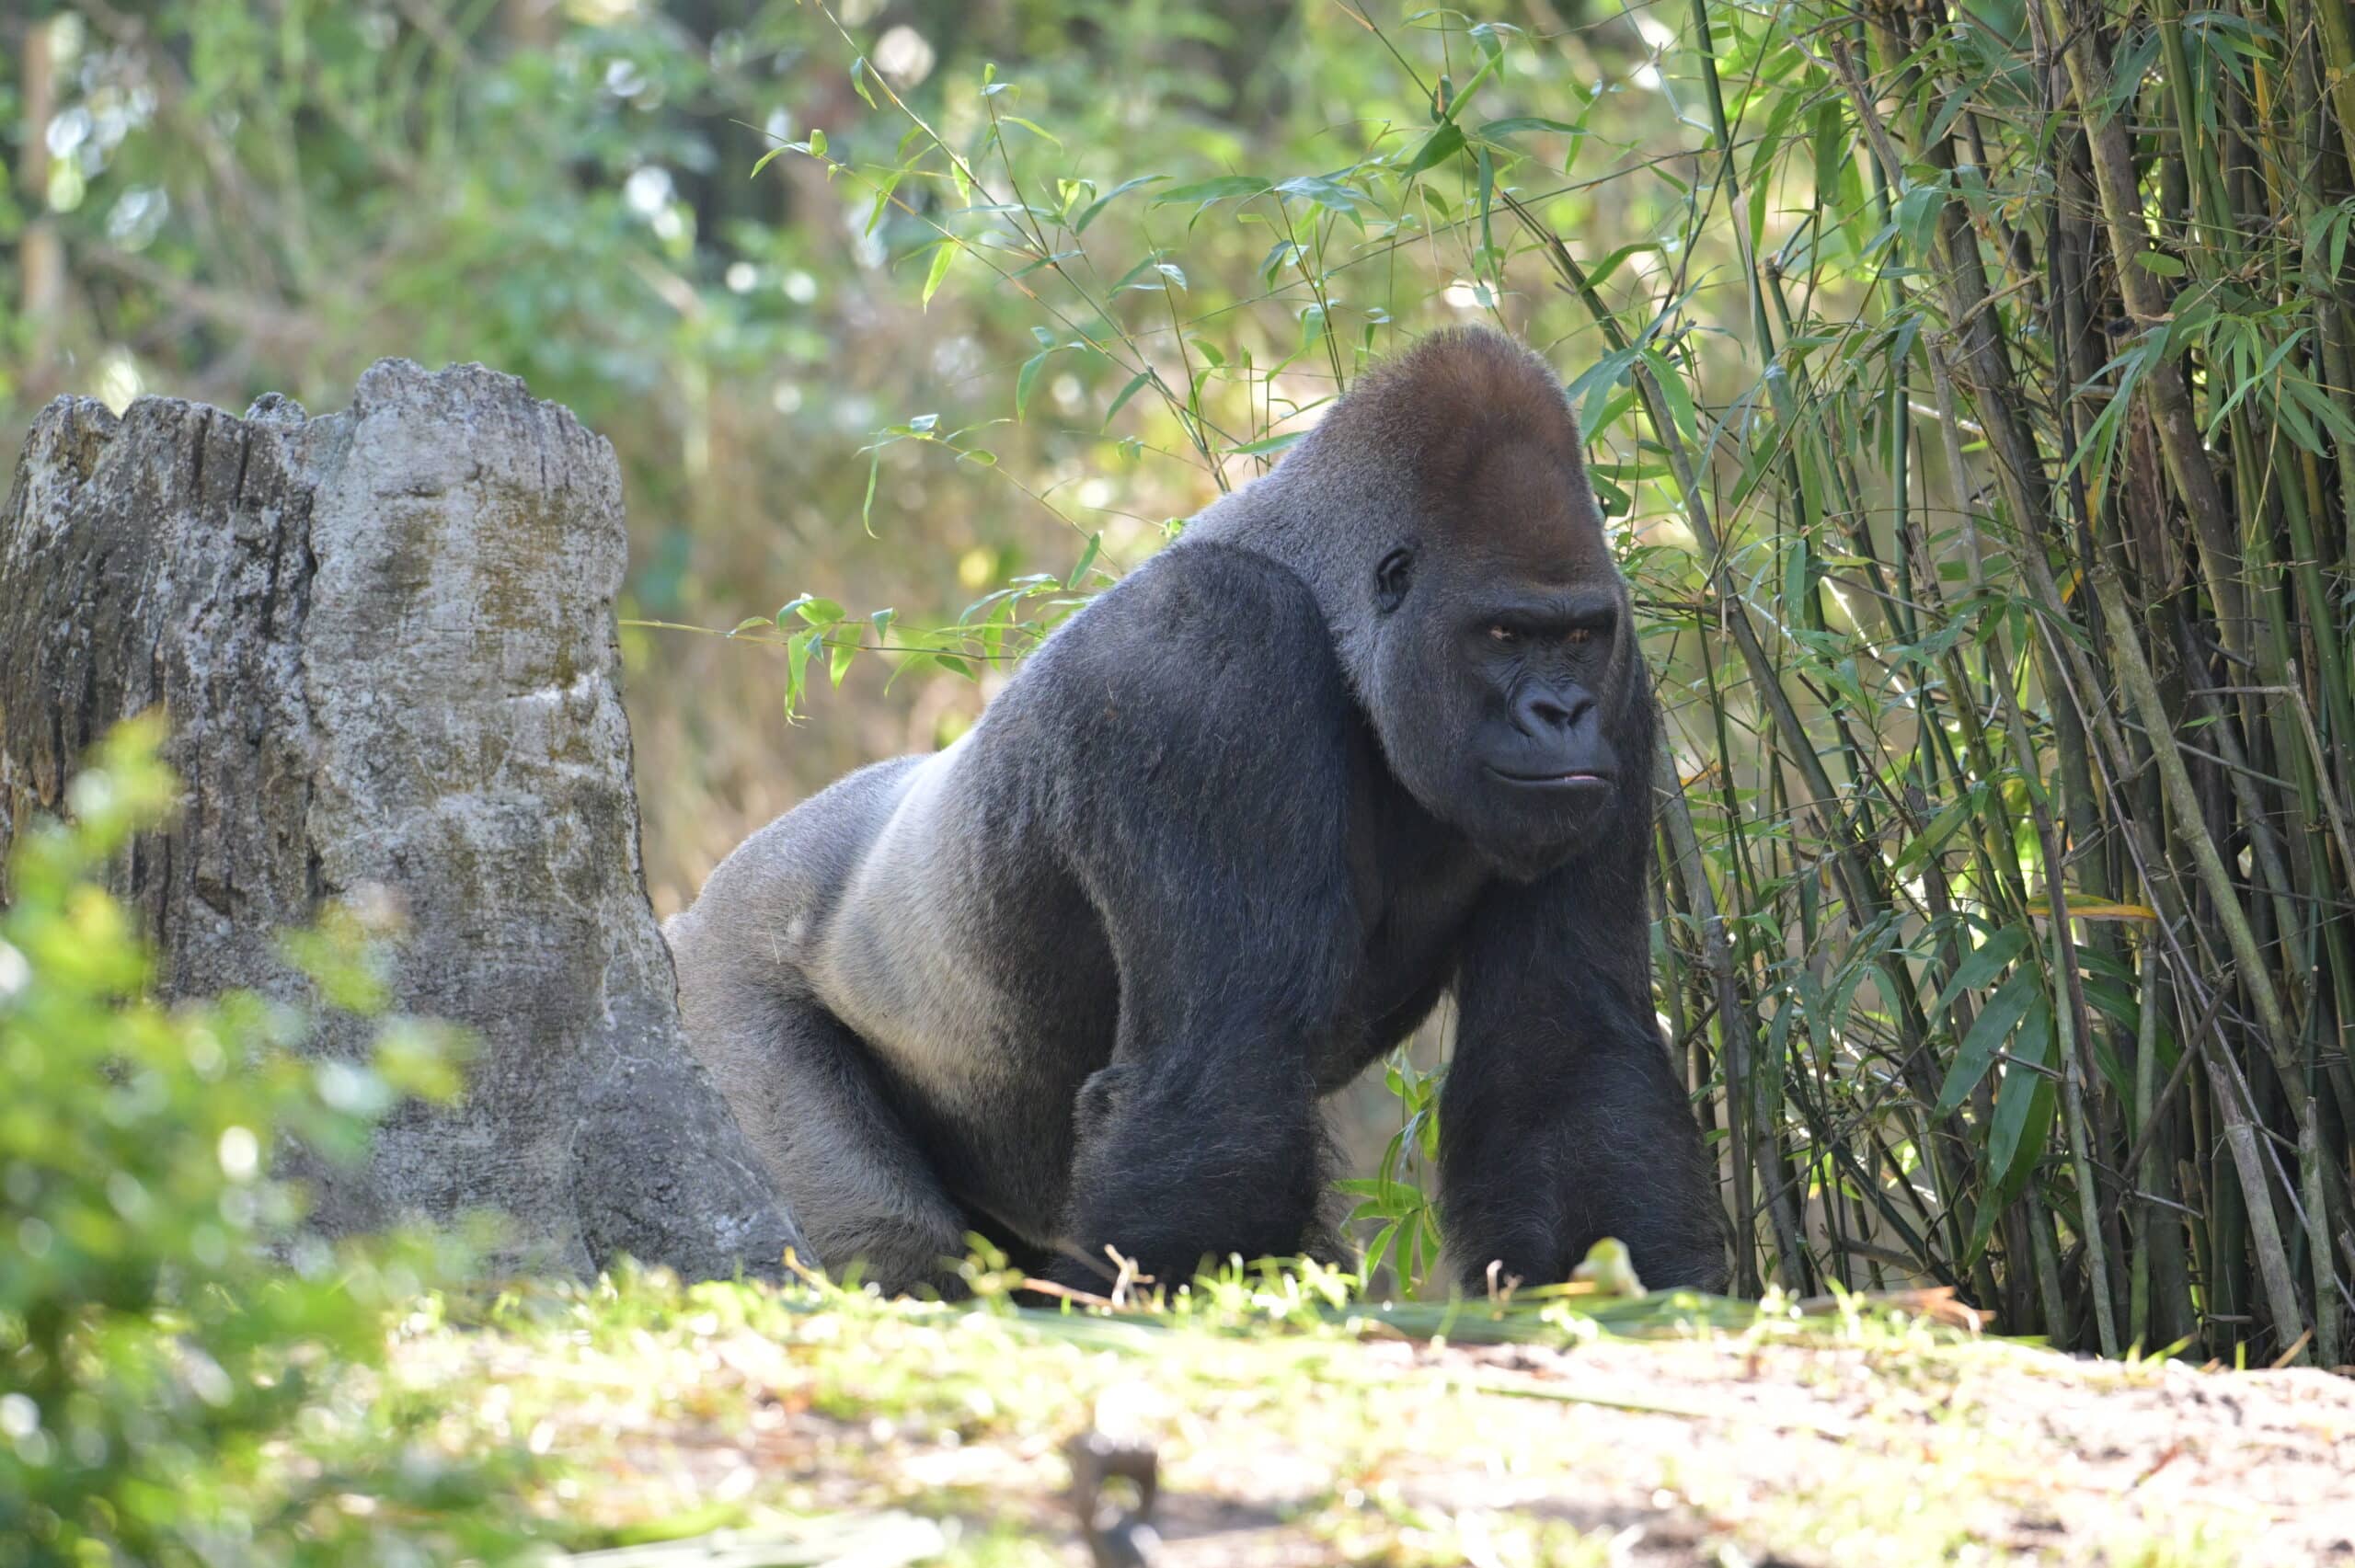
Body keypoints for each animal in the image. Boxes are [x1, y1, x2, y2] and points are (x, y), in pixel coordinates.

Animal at [663, 325, 1727, 1297]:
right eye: (1504, 633)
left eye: (1578, 637)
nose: (1560, 714)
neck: (1332, 616)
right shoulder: (1207, 655)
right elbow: (1220, 1067)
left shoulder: (1623, 690)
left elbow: (1564, 1054)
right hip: (714, 992)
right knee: (889, 1239)